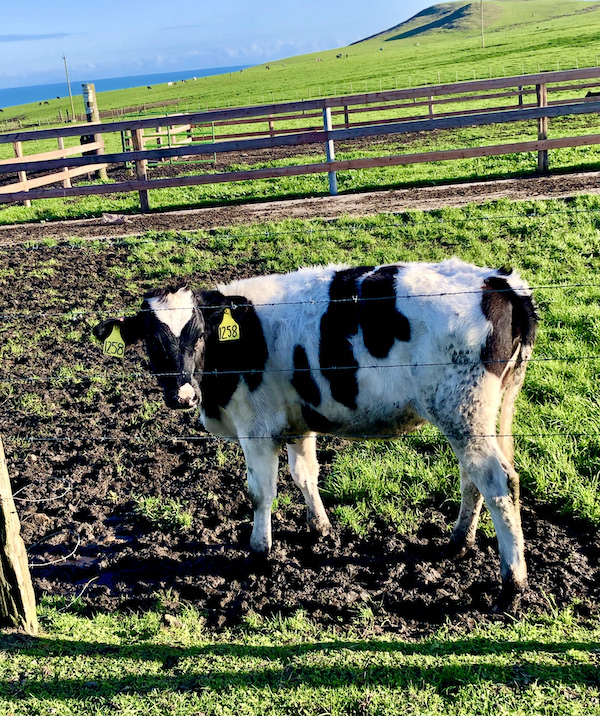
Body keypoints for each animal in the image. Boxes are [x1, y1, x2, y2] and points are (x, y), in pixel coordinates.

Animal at [94, 258, 538, 609]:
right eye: (152, 341)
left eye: (198, 334)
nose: (182, 396)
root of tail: (497, 281)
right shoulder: (297, 423)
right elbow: (305, 474)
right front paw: (320, 529)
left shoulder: (256, 429)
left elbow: (261, 492)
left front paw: (259, 553)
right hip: (469, 417)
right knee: (473, 478)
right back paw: (459, 542)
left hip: (463, 413)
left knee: (499, 483)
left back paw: (511, 585)